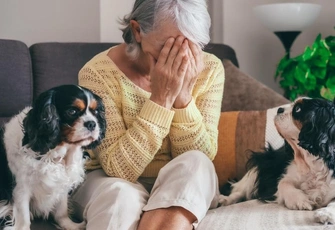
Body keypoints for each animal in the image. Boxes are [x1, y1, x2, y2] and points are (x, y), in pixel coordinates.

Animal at [0, 85, 106, 230]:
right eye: (72, 111)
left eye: (95, 112)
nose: (92, 124)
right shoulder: (21, 187)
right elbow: (23, 216)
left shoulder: (62, 182)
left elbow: (61, 210)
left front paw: (70, 225)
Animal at [219, 97, 335, 225]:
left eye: (298, 109)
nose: (279, 109)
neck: (311, 163)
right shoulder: (286, 175)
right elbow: (283, 184)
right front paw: (300, 201)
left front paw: (326, 214)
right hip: (261, 164)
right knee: (239, 190)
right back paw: (224, 200)